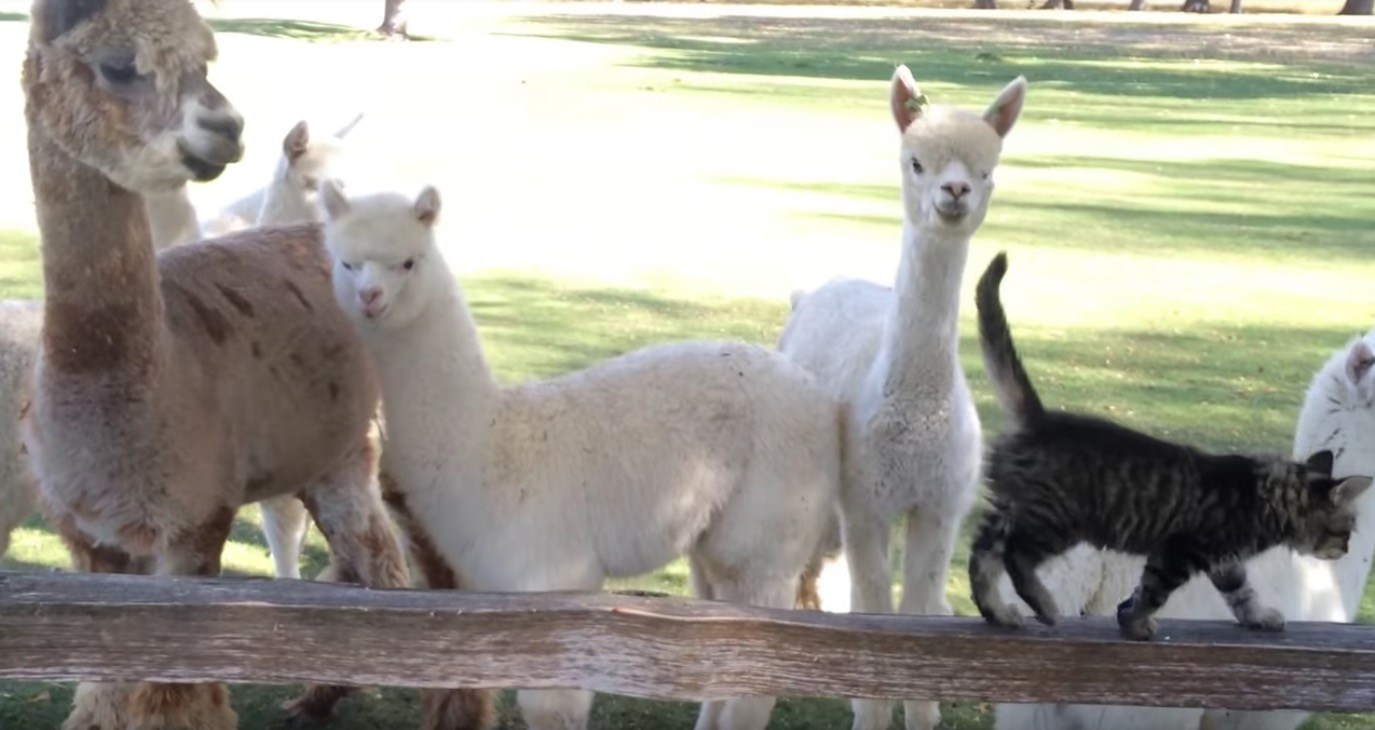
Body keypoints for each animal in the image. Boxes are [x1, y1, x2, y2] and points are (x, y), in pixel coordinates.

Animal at [973, 252, 1369, 640]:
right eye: (1346, 529)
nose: (1346, 547)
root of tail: (1037, 419)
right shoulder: (1184, 547)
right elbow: (1154, 592)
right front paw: (1138, 623)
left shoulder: (1223, 559)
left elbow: (1240, 593)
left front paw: (1258, 617)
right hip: (1057, 526)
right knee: (1015, 556)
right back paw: (1043, 606)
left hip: (1015, 509)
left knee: (984, 552)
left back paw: (999, 612)